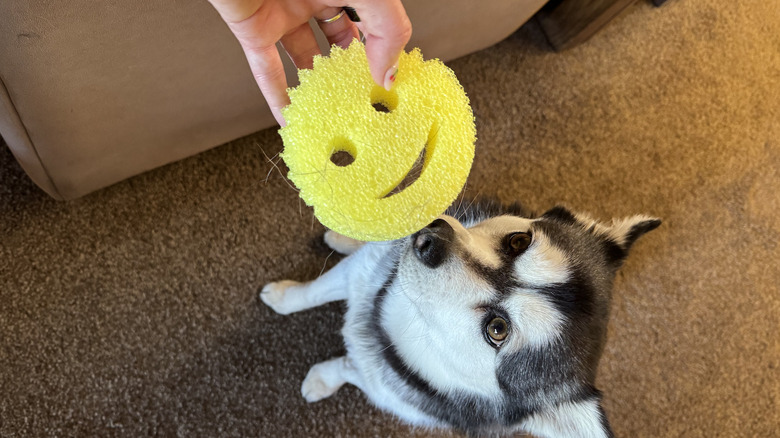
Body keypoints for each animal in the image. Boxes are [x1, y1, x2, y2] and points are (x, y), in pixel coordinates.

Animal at [260, 199, 660, 438]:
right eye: (519, 241)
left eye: (498, 329)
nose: (432, 239)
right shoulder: (362, 274)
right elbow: (315, 291)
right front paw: (284, 297)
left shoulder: (388, 388)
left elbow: (351, 369)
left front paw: (323, 379)